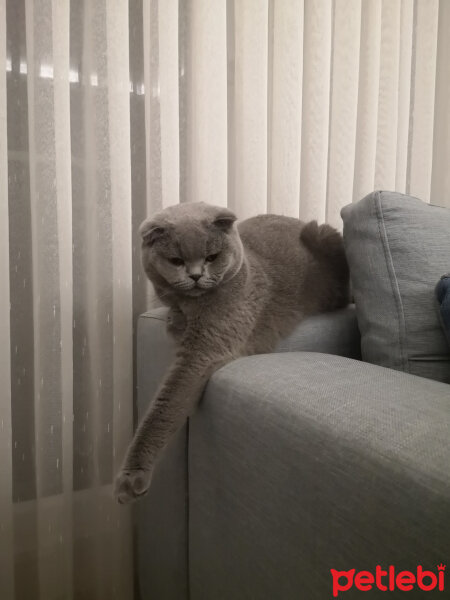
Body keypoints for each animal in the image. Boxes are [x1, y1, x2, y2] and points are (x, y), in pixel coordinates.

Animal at [114, 204, 350, 504]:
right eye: (176, 260)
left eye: (211, 257)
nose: (195, 276)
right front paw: (174, 321)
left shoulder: (207, 348)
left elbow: (165, 406)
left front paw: (130, 479)